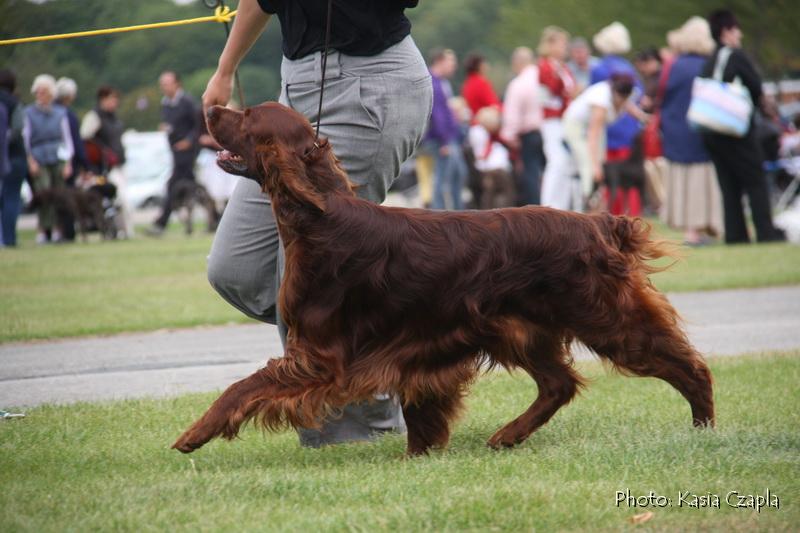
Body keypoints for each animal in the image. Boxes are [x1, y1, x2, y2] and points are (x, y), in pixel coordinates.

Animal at [172, 102, 716, 456]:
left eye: (246, 116)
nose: (211, 107)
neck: (321, 218)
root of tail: (599, 222)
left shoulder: (321, 358)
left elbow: (242, 387)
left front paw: (193, 434)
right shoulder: (412, 351)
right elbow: (421, 414)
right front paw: (421, 455)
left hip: (607, 320)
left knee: (689, 366)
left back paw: (704, 428)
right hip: (519, 329)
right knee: (558, 385)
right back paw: (508, 435)